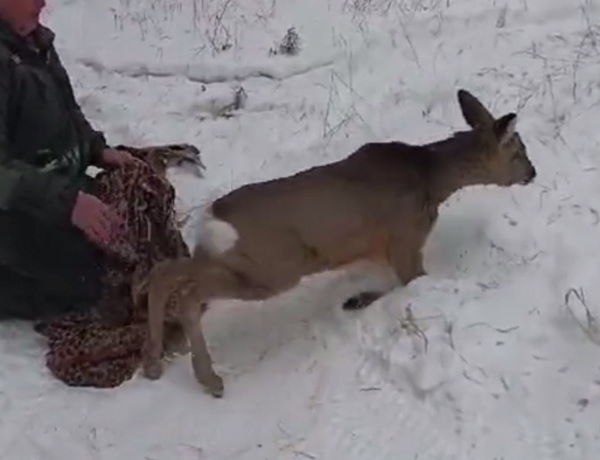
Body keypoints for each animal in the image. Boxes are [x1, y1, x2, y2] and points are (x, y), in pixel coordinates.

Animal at [142, 89, 540, 396]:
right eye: (518, 151)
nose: (533, 173)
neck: (431, 181)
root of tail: (212, 221)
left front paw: (355, 299)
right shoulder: (404, 236)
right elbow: (410, 282)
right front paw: (357, 300)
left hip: (236, 263)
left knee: (165, 272)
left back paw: (153, 364)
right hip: (272, 268)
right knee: (188, 293)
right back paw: (209, 379)